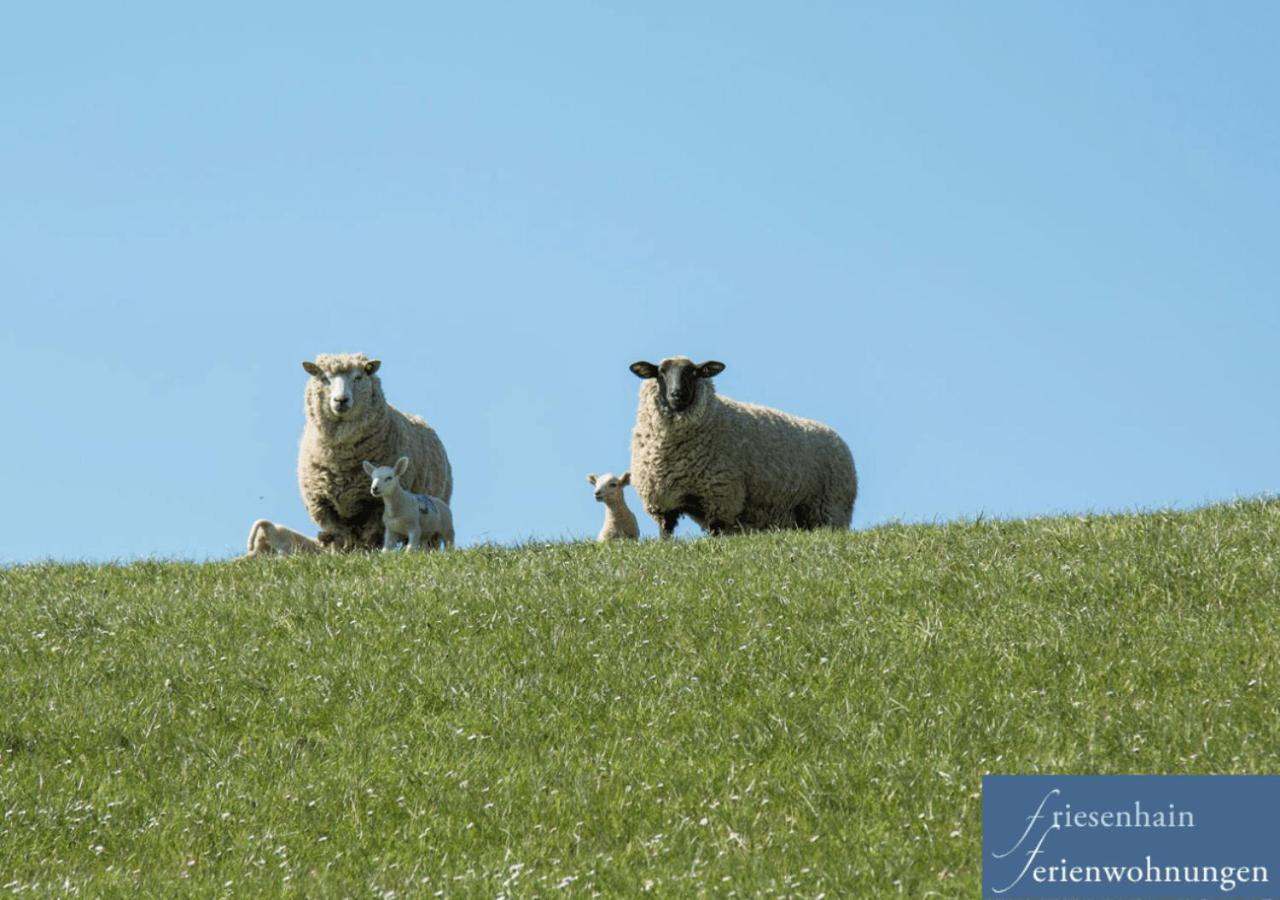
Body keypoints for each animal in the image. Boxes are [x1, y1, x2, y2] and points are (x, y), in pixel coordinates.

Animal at [296, 353, 453, 547]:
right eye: (324, 378)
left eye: (358, 377)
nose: (341, 400)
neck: (342, 461)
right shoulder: (322, 505)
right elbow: (340, 536)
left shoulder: (377, 506)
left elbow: (370, 537)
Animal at [624, 358, 855, 542]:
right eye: (661, 373)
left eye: (694, 372)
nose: (676, 394)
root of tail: (839, 440)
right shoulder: (663, 500)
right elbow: (666, 532)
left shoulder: (720, 496)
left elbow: (716, 532)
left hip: (830, 507)